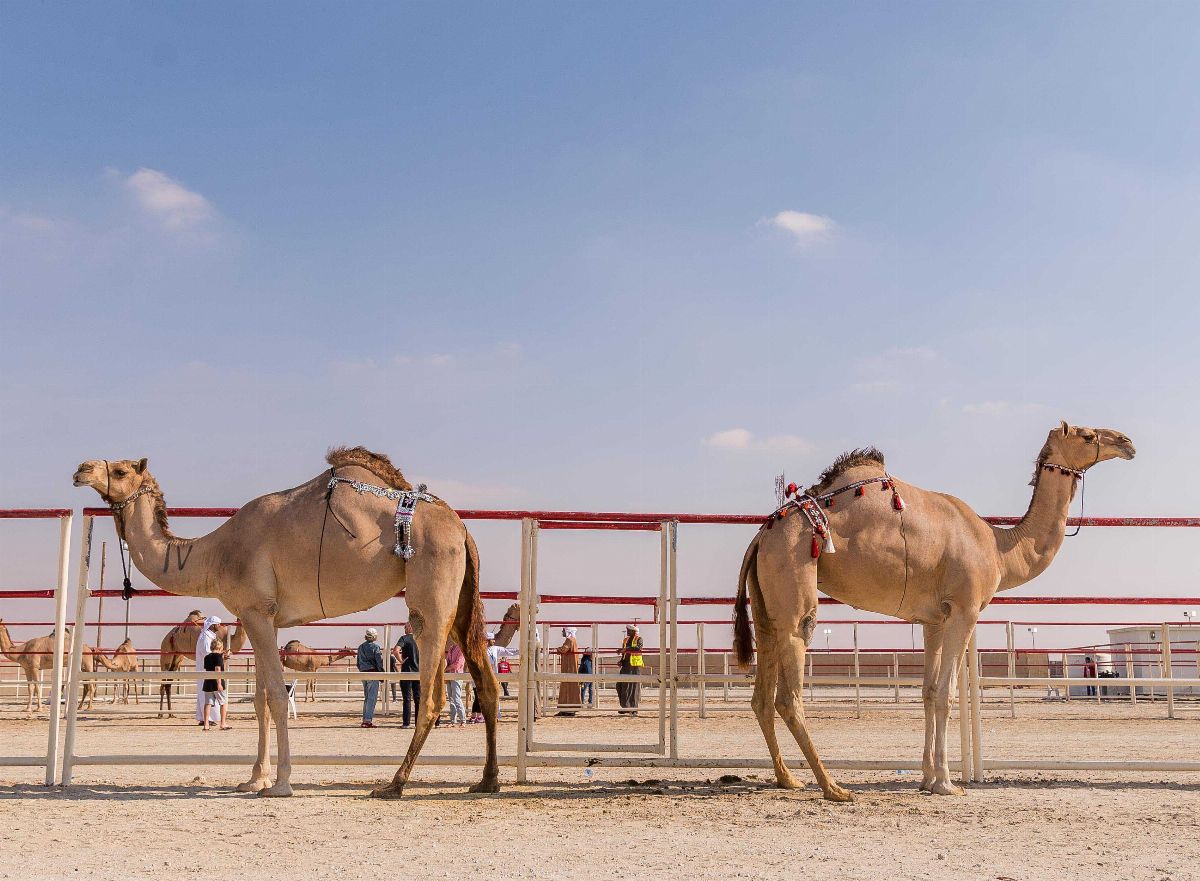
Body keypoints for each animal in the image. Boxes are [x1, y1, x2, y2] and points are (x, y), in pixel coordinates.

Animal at [75, 448, 499, 801]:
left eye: (121, 469)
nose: (81, 469)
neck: (214, 554)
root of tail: (462, 529)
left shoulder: (256, 611)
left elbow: (278, 698)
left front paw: (279, 783)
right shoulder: (266, 617)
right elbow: (261, 700)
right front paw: (253, 779)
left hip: (432, 593)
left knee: (431, 694)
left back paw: (395, 784)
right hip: (462, 600)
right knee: (487, 683)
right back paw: (486, 780)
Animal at [729, 420, 1132, 801]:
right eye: (1086, 435)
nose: (1127, 442)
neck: (1000, 547)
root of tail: (760, 536)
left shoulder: (932, 620)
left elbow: (926, 691)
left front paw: (926, 778)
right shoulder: (964, 609)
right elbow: (945, 693)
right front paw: (946, 783)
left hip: (765, 602)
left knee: (762, 691)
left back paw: (788, 778)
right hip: (793, 568)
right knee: (791, 681)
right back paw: (833, 787)